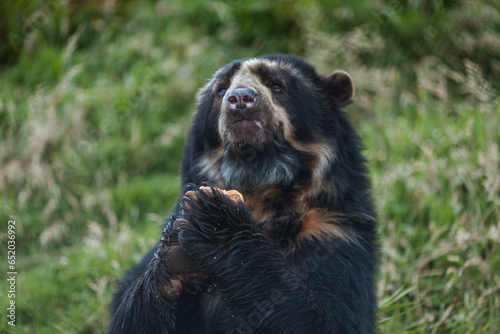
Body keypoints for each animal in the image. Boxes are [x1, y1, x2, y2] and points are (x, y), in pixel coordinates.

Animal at [107, 55, 376, 334]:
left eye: (277, 86)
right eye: (221, 90)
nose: (239, 99)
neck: (260, 191)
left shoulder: (334, 232)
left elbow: (331, 317)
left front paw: (216, 219)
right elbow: (128, 317)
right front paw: (174, 253)